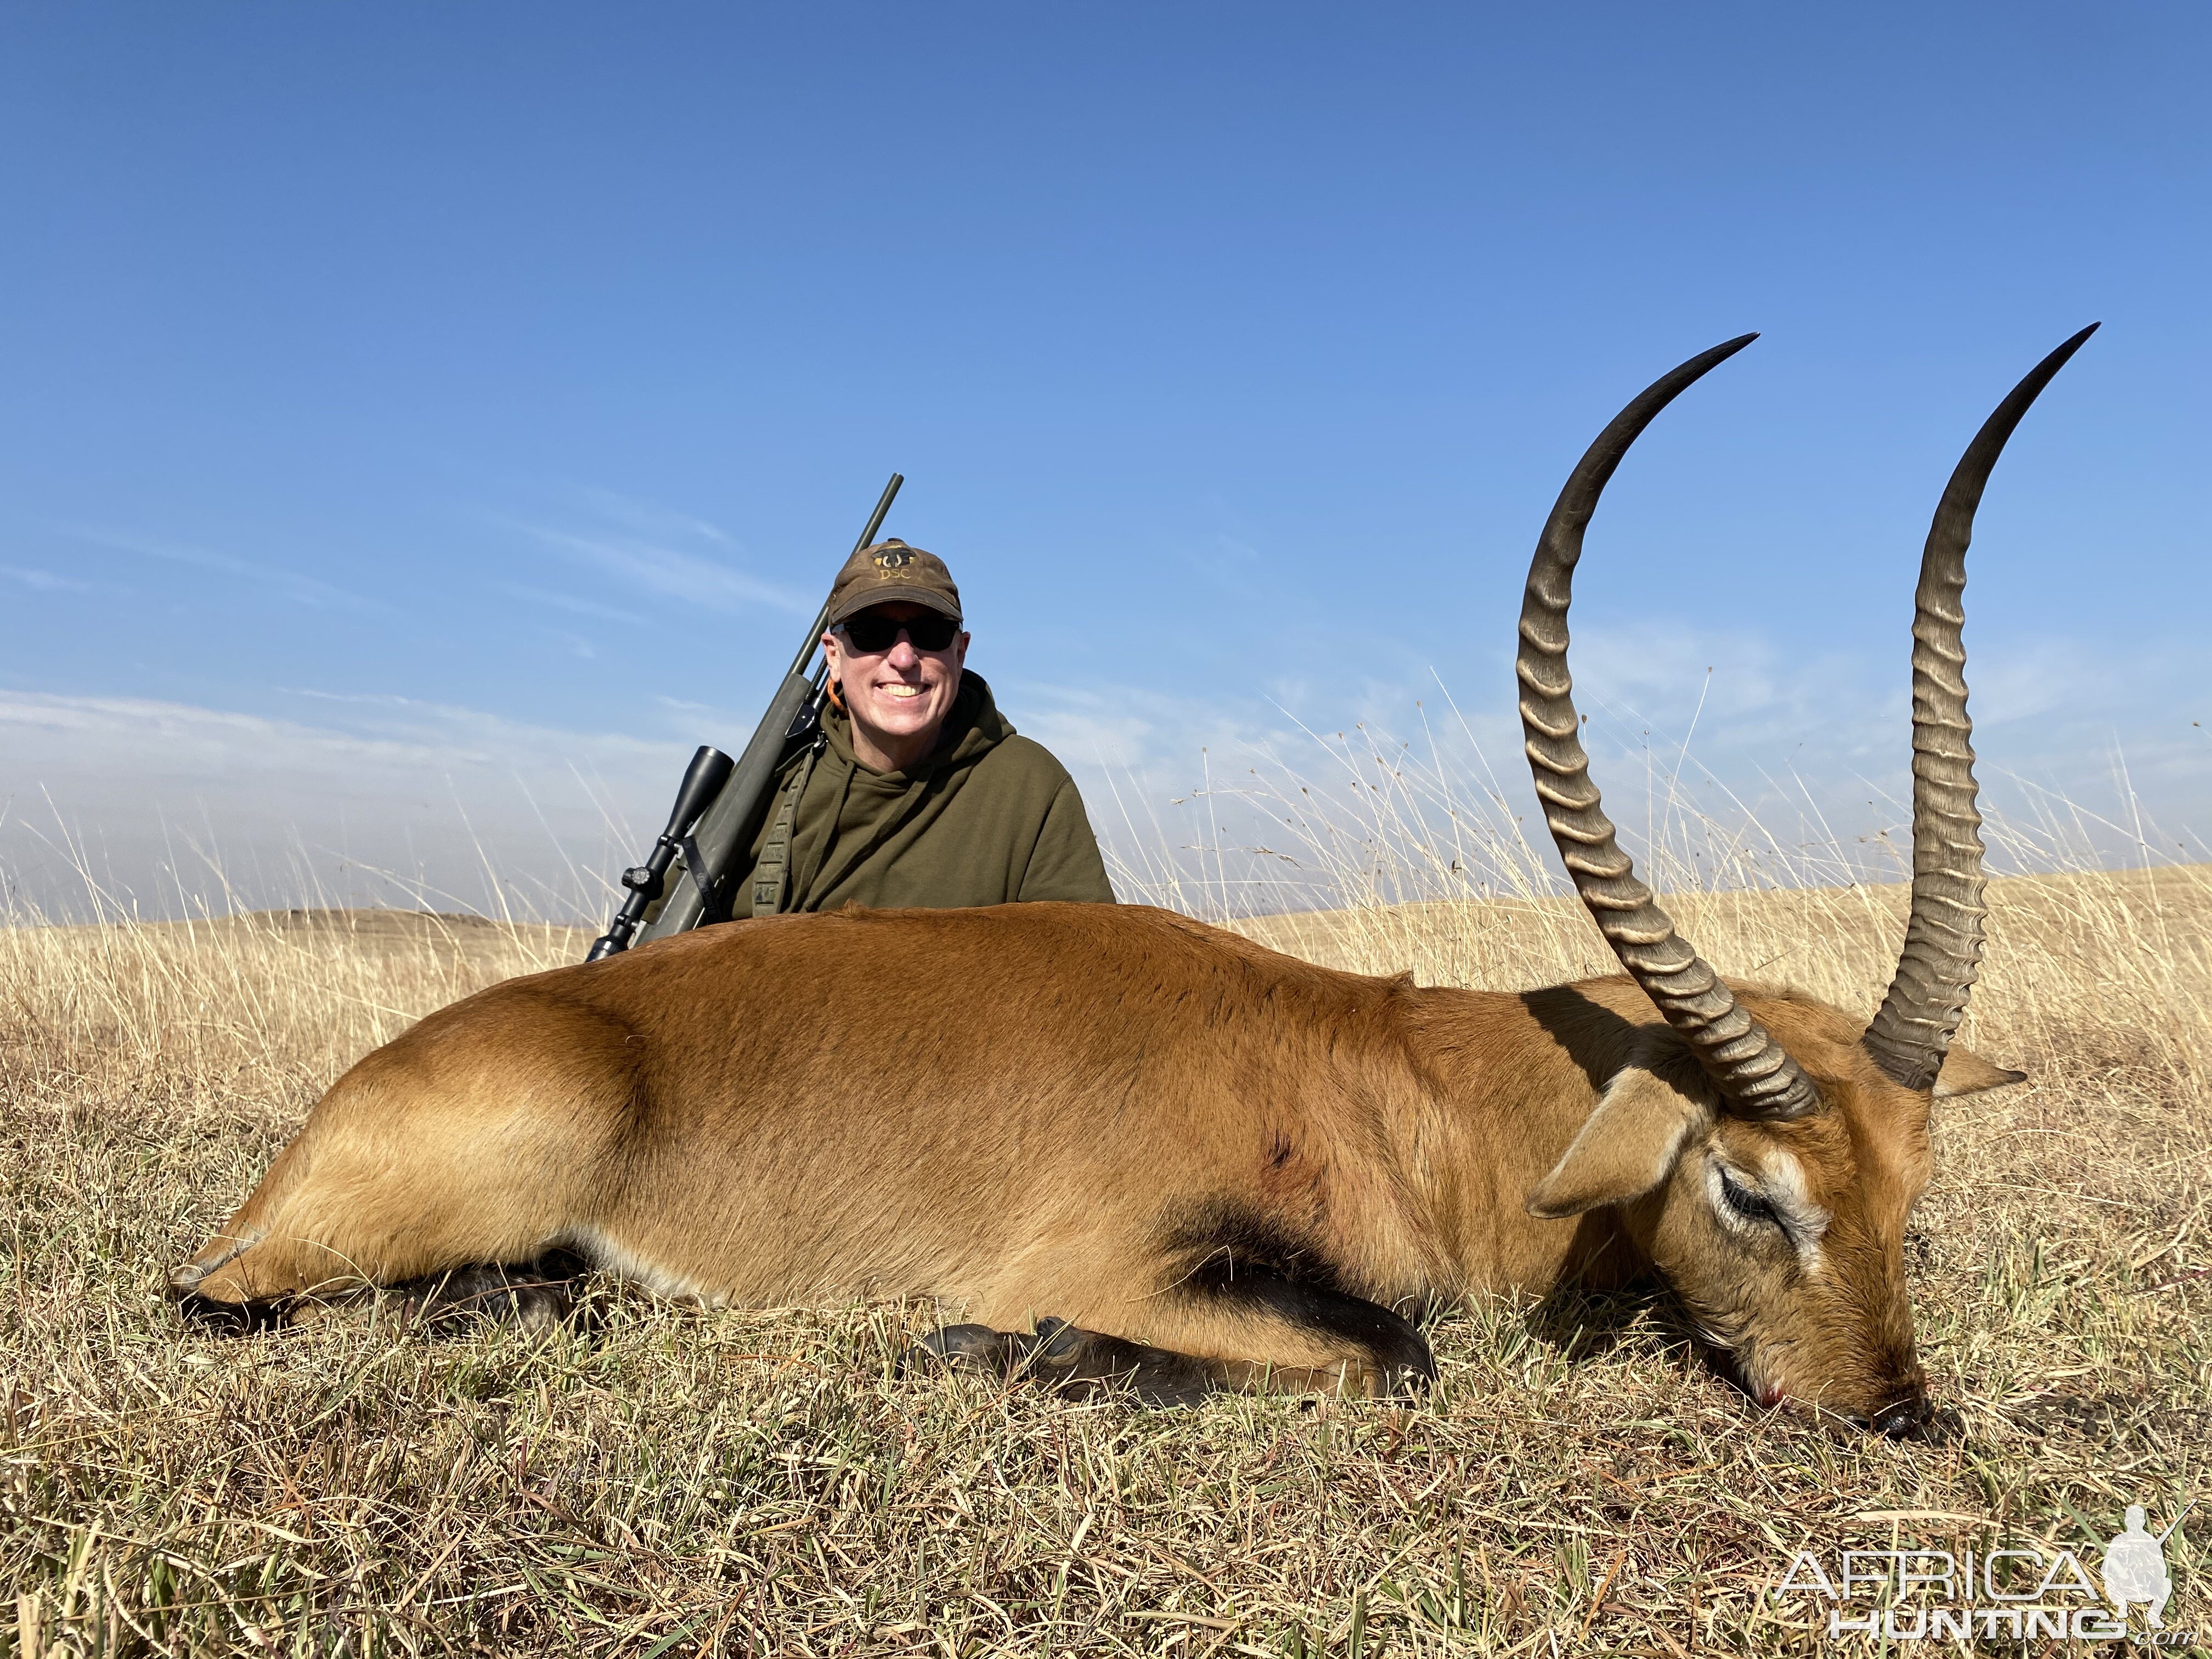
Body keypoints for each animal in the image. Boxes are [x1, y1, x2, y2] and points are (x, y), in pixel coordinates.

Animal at [172, 331, 2088, 1433]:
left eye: (1915, 1187)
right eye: (1755, 1191)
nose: (1899, 1415)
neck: (1387, 1078)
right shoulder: (1132, 1262)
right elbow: (1391, 1355)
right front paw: (978, 1351)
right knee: (212, 1300)